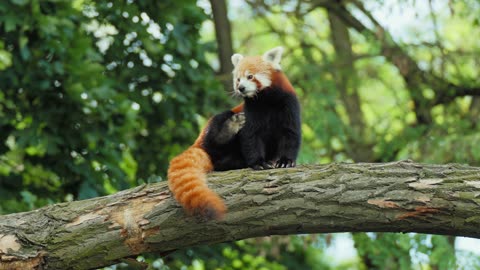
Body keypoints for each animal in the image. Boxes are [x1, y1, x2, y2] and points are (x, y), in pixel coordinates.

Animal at [167, 46, 298, 219]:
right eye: (238, 79)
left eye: (250, 76)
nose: (240, 88)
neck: (265, 100)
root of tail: (198, 144)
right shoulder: (250, 111)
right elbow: (250, 137)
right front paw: (259, 163)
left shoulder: (288, 104)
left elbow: (290, 134)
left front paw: (285, 161)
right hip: (215, 130)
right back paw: (230, 129)